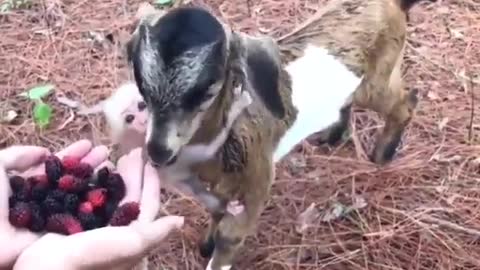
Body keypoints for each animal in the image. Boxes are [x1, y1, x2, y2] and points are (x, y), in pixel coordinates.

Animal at [125, 1, 434, 268]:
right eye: (143, 87)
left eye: (207, 88)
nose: (158, 151)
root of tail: (394, 5)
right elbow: (217, 209)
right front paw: (205, 244)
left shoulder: (257, 180)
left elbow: (230, 235)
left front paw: (216, 251)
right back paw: (334, 135)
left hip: (378, 80)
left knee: (405, 103)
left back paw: (382, 155)